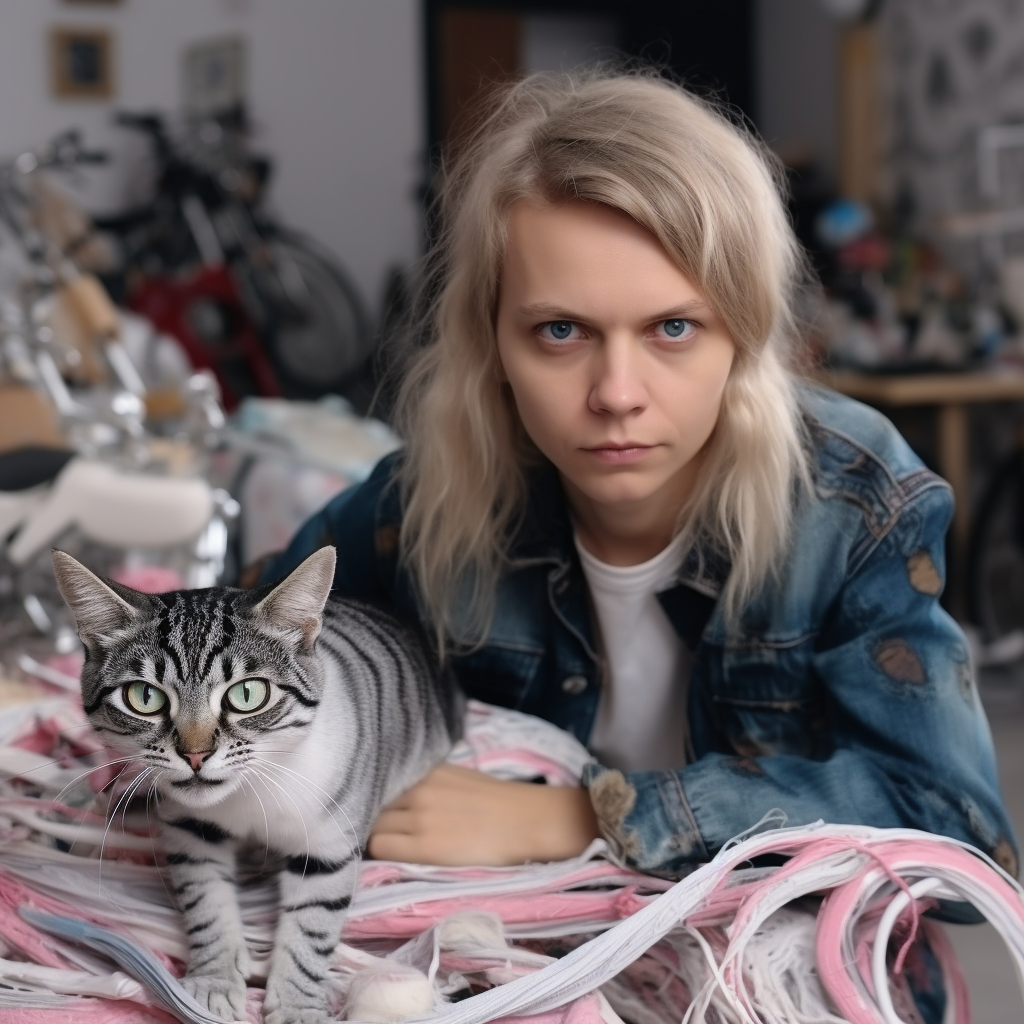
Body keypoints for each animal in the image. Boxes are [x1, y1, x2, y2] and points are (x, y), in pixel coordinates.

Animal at [51, 548, 460, 1024]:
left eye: (247, 695)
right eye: (144, 697)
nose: (194, 754)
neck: (247, 795)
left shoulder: (330, 845)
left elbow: (311, 929)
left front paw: (297, 1006)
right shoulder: (191, 830)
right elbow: (206, 904)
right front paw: (213, 983)